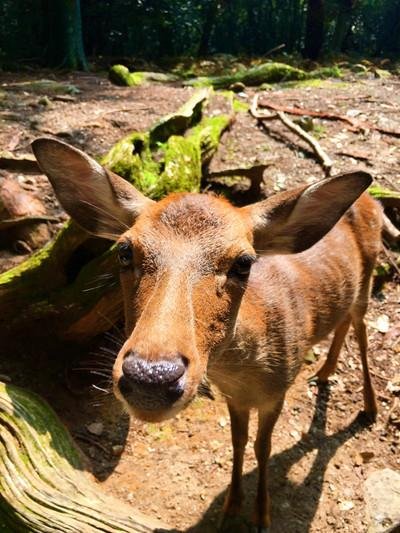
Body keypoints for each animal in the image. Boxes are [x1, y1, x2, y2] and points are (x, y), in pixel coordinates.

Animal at [32, 138, 384, 532]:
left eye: (244, 262)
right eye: (124, 251)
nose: (151, 377)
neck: (246, 374)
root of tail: (372, 200)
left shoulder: (277, 391)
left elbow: (263, 447)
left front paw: (262, 514)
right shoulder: (234, 397)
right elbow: (237, 441)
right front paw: (231, 507)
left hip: (370, 274)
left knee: (361, 328)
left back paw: (369, 407)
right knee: (343, 322)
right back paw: (323, 373)